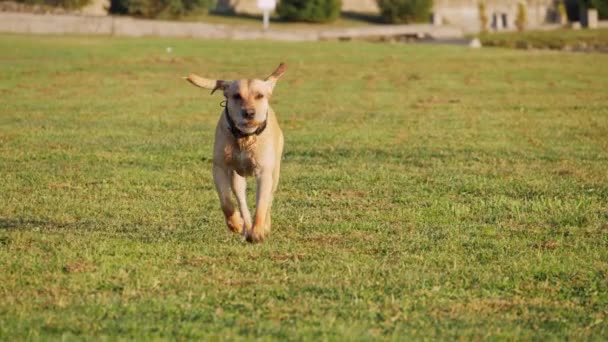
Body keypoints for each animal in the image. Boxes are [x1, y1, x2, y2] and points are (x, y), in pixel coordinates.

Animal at [184, 63, 286, 243]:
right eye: (237, 96)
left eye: (260, 96)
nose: (249, 113)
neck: (244, 137)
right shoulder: (220, 168)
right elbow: (226, 202)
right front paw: (236, 224)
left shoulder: (264, 172)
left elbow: (262, 204)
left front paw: (258, 231)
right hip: (237, 178)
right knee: (241, 201)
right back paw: (245, 226)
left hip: (275, 173)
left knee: (269, 200)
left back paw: (263, 226)